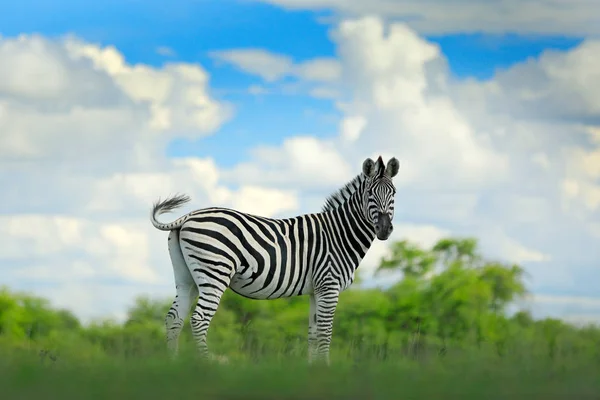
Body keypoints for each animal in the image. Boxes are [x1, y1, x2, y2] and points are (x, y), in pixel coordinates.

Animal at [150, 155, 398, 364]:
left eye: (394, 193)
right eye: (370, 195)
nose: (384, 229)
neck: (339, 234)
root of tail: (188, 216)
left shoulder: (316, 290)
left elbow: (313, 333)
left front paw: (313, 370)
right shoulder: (329, 285)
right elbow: (325, 333)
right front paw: (325, 370)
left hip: (187, 278)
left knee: (174, 318)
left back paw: (175, 365)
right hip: (215, 272)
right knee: (199, 319)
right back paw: (206, 365)